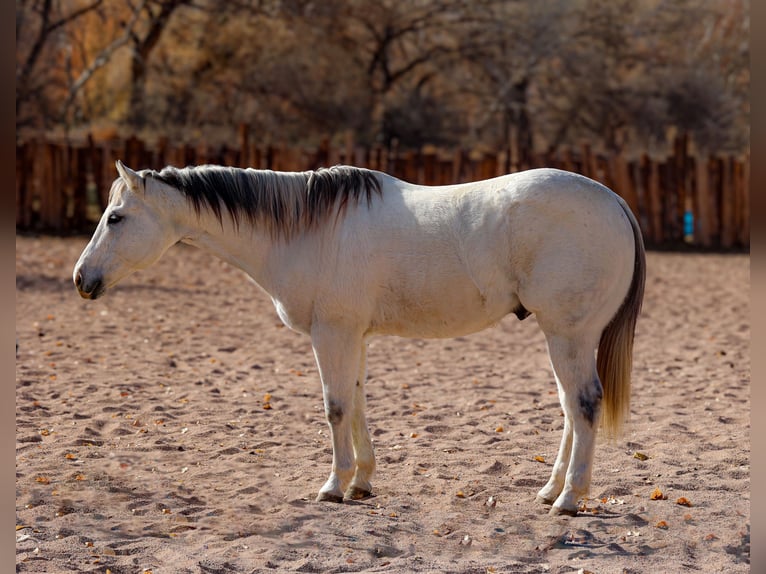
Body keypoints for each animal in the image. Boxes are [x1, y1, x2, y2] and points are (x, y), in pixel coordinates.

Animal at [75, 159, 644, 516]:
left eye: (116, 217)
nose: (82, 279)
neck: (309, 229)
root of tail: (613, 200)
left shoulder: (332, 334)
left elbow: (334, 408)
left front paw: (333, 486)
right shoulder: (355, 337)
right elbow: (356, 402)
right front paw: (363, 482)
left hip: (568, 334)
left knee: (583, 404)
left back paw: (569, 499)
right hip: (562, 337)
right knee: (570, 407)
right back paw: (550, 490)